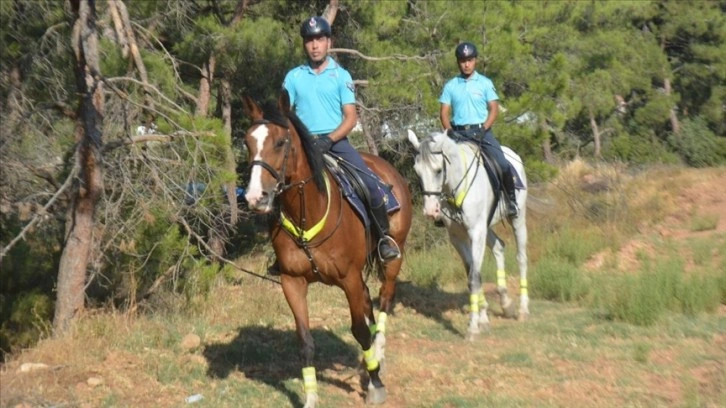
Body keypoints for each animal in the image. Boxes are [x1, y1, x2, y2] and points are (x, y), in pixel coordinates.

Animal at [242, 93, 412, 408]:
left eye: (280, 142)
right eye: (247, 142)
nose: (255, 197)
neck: (308, 213)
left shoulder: (349, 279)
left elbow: (359, 331)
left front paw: (375, 385)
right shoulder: (292, 282)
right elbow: (305, 341)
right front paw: (310, 398)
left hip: (393, 258)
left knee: (384, 298)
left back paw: (379, 356)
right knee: (369, 302)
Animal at [406, 131, 532, 342]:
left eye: (438, 170)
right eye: (417, 172)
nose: (430, 211)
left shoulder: (476, 232)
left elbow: (474, 277)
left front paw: (473, 328)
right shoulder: (458, 237)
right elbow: (473, 275)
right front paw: (483, 320)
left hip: (517, 219)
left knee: (521, 258)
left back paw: (523, 310)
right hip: (486, 226)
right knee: (499, 246)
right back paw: (506, 304)